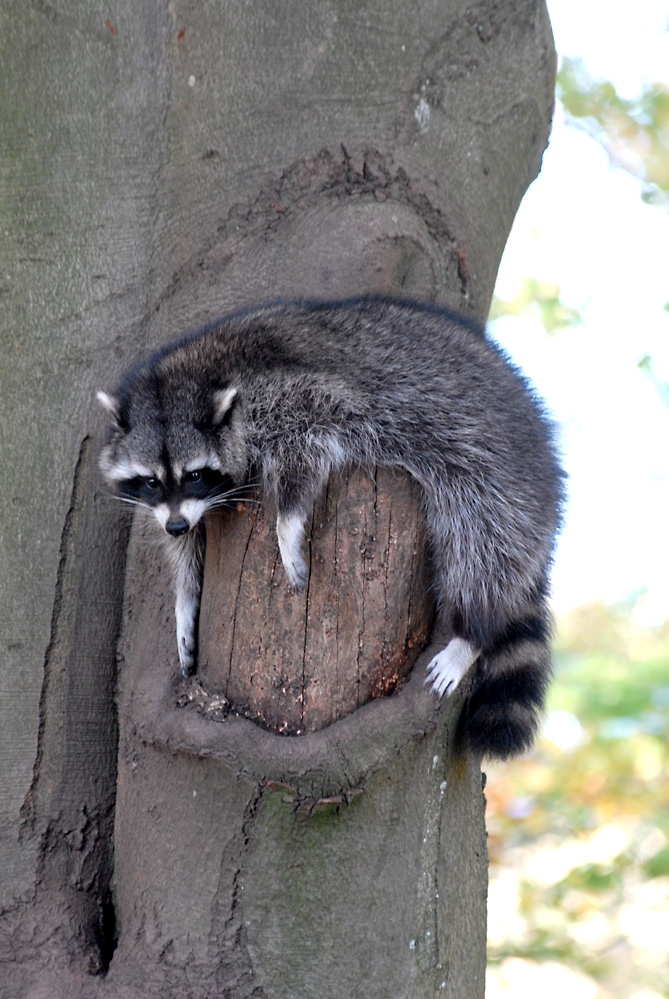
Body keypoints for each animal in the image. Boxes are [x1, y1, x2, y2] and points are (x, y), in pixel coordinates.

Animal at [95, 296, 564, 756]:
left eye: (194, 474)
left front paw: (286, 528)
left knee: (482, 547)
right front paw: (186, 596)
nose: (174, 525)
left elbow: (306, 457)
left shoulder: (297, 399)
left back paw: (471, 634)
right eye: (150, 481)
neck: (196, 375)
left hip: (496, 470)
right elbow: (192, 542)